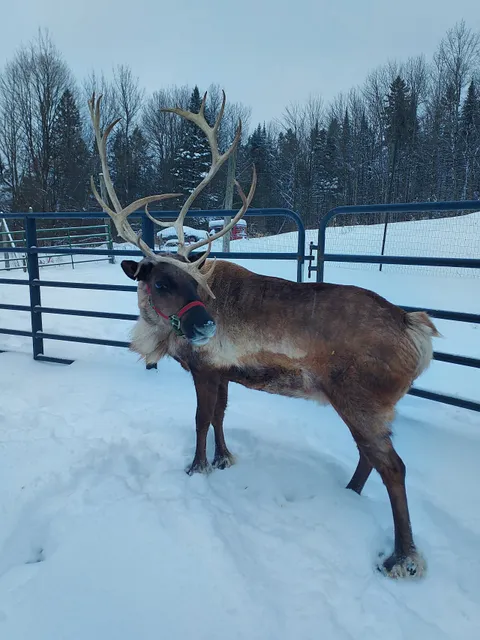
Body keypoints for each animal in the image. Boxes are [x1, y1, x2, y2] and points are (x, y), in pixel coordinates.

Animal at [88, 90, 439, 580]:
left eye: (194, 282)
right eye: (160, 282)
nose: (206, 325)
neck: (165, 334)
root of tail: (415, 329)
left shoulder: (204, 369)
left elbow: (200, 419)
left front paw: (196, 468)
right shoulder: (224, 372)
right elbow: (220, 417)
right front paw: (223, 459)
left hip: (361, 401)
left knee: (394, 467)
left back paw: (401, 557)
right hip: (364, 406)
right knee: (370, 457)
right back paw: (348, 494)